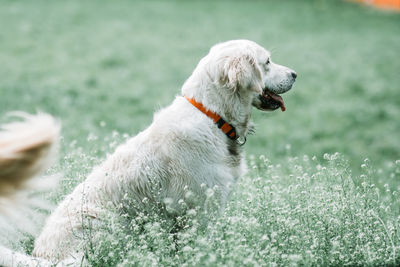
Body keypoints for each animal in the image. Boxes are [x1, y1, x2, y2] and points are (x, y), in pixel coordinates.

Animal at [0, 39, 296, 266]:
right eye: (267, 62)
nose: (295, 74)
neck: (212, 116)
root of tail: (45, 257)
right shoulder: (199, 210)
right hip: (106, 222)